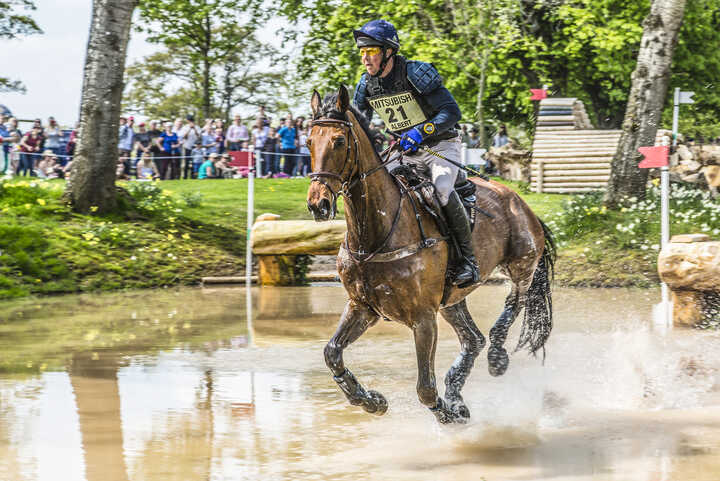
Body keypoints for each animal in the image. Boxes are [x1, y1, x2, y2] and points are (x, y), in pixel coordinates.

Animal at [304, 86, 556, 424]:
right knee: (473, 339)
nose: (317, 205)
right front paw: (370, 400)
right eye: (308, 141)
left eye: (339, 141)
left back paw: (497, 358)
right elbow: (332, 353)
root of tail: (520, 200)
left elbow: (424, 387)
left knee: (515, 302)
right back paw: (457, 393)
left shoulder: (423, 318)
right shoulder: (362, 306)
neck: (375, 236)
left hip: (522, 264)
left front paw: (447, 414)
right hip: (451, 299)